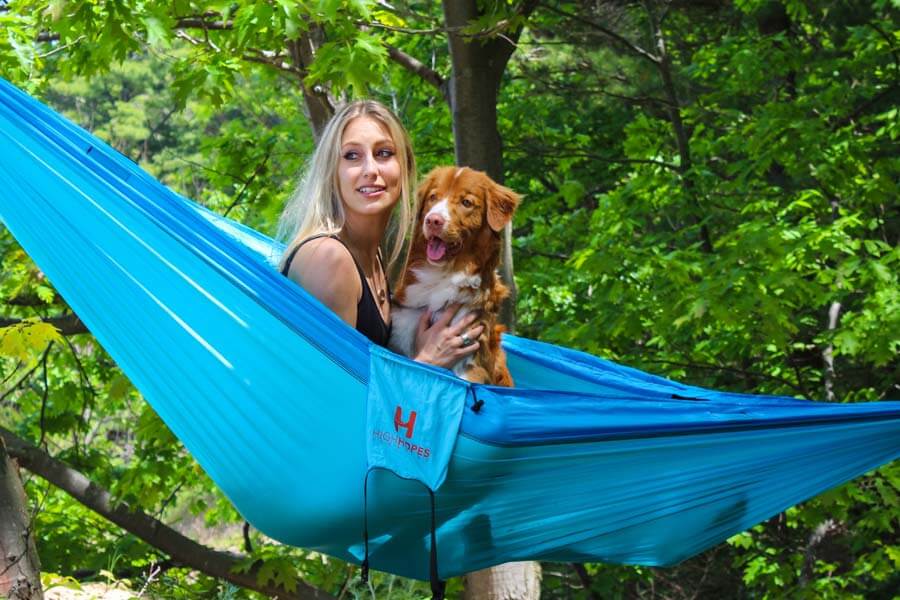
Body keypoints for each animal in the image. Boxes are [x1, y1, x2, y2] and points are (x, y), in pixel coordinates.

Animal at [386, 166, 520, 386]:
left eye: (466, 202)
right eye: (433, 197)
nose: (433, 220)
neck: (442, 275)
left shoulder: (470, 361)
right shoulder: (403, 327)